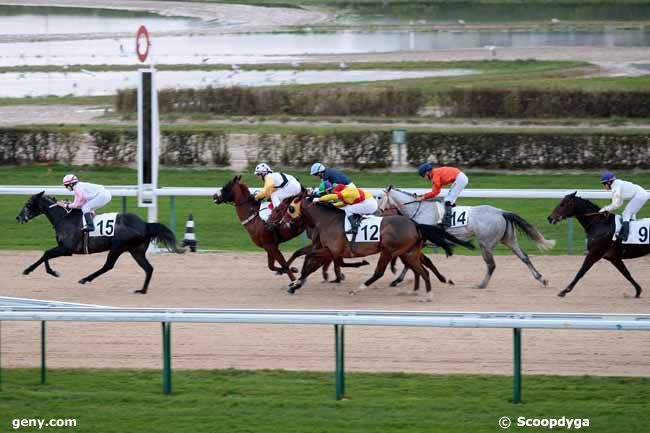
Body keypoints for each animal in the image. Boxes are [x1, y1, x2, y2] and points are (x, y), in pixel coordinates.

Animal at [15, 192, 182, 294]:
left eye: (28, 204)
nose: (18, 218)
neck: (64, 218)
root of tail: (146, 224)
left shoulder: (67, 249)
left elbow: (46, 253)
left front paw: (35, 270)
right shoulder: (64, 249)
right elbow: (46, 254)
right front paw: (46, 271)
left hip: (117, 247)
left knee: (108, 266)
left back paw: (85, 279)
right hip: (136, 251)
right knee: (148, 268)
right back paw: (142, 290)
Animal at [211, 174, 364, 282]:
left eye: (225, 187)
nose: (214, 196)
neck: (253, 215)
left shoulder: (270, 244)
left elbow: (281, 262)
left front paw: (293, 276)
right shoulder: (269, 245)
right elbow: (272, 265)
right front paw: (292, 270)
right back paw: (333, 274)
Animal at [276, 192, 474, 300]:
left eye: (289, 208)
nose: (282, 223)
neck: (327, 220)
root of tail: (415, 224)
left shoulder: (330, 251)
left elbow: (309, 259)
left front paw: (295, 281)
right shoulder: (327, 251)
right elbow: (308, 261)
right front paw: (294, 283)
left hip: (389, 250)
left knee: (380, 272)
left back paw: (358, 289)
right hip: (408, 253)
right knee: (423, 270)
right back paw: (428, 293)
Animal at [378, 185, 556, 286]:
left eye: (379, 197)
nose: (378, 211)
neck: (419, 209)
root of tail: (501, 212)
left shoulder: (423, 241)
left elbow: (409, 262)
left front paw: (396, 277)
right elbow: (410, 261)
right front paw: (397, 277)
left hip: (486, 243)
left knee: (491, 264)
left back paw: (482, 284)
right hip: (509, 240)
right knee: (524, 257)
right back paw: (541, 278)